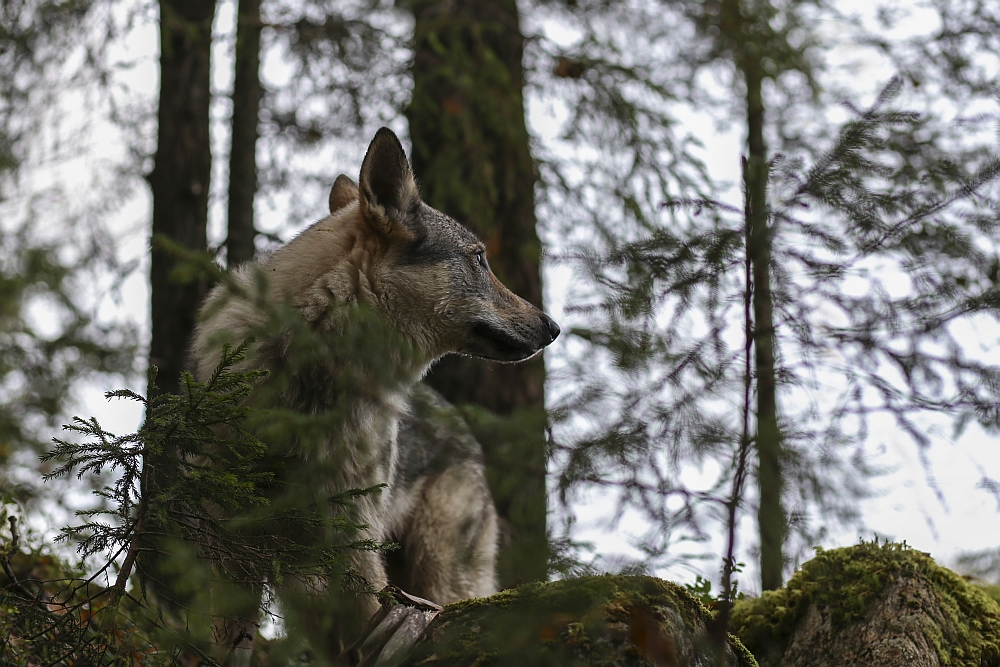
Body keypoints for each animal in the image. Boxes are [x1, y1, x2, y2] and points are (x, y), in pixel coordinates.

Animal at [191, 128, 560, 664]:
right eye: (478, 258)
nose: (553, 327)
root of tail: (462, 430)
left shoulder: (352, 546)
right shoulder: (228, 541)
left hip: (433, 573)